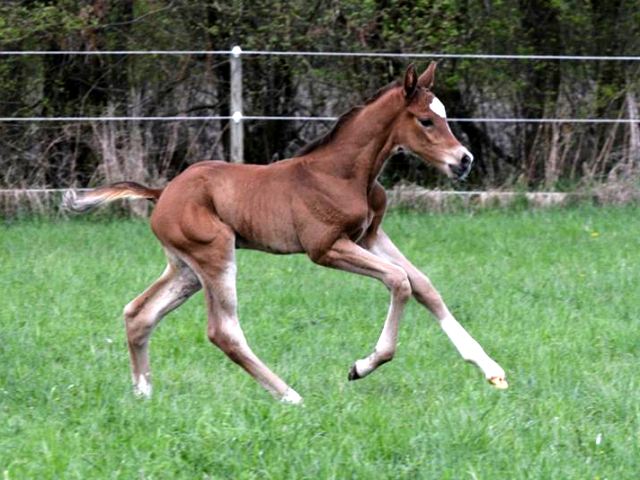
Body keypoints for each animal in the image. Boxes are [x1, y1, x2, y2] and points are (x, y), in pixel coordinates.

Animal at [63, 62, 504, 402]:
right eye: (426, 120)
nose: (464, 161)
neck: (345, 173)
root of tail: (163, 192)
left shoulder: (370, 236)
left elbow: (424, 285)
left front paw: (490, 369)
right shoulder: (326, 247)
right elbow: (400, 281)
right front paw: (362, 366)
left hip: (185, 268)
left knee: (139, 313)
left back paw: (143, 393)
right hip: (215, 253)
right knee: (224, 331)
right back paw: (289, 395)